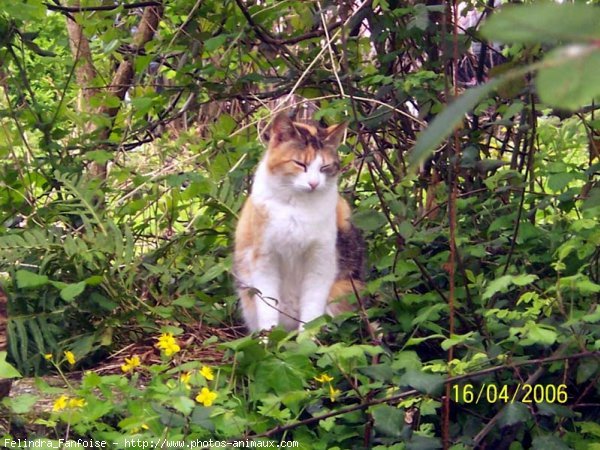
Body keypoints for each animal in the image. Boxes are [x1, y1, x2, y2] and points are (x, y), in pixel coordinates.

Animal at [234, 112, 366, 330]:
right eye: (300, 164)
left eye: (325, 167)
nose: (313, 183)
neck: (296, 206)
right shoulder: (264, 258)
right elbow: (268, 307)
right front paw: (267, 337)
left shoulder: (320, 259)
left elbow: (312, 309)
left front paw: (308, 336)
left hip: (344, 288)